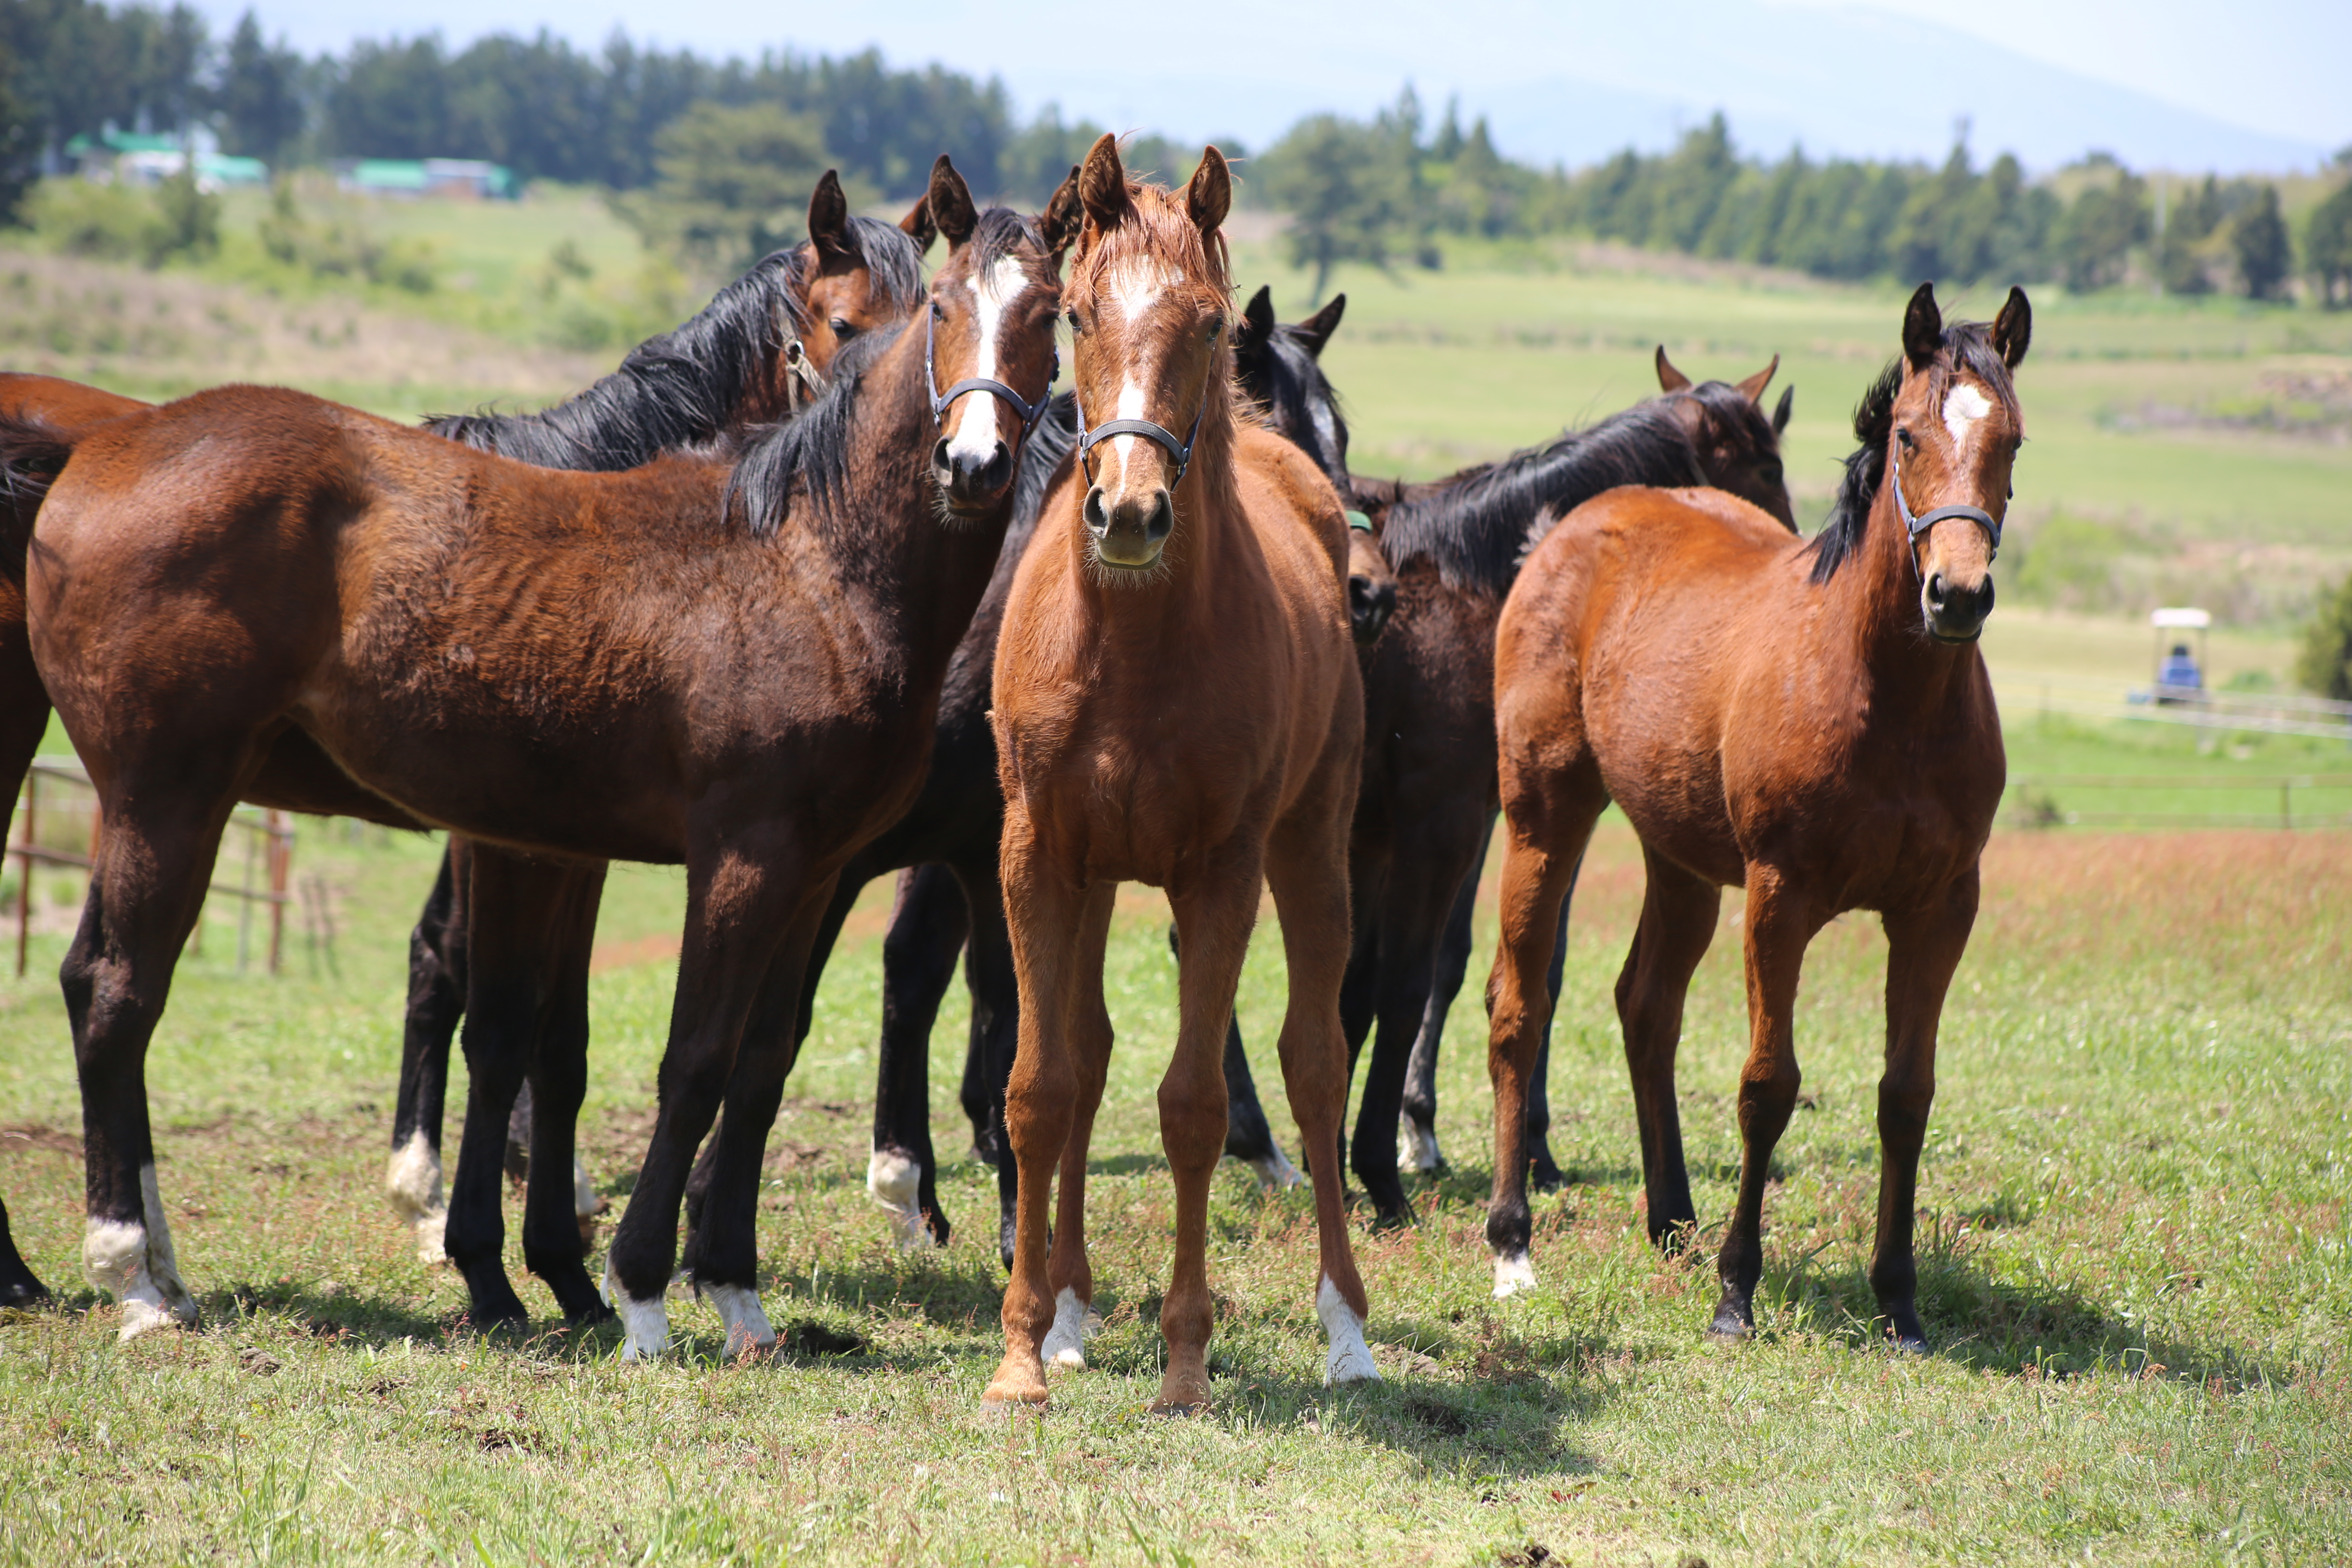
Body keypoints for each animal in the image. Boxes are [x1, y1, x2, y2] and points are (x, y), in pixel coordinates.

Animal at [16, 160, 1077, 1354]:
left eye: (1050, 319)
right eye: (936, 311)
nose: (973, 464)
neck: (804, 561)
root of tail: (99, 450)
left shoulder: (803, 869)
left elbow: (749, 1062)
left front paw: (728, 1289)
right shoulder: (733, 858)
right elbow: (684, 1059)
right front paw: (638, 1290)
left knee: (100, 982)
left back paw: (158, 1270)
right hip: (164, 796)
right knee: (118, 993)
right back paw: (133, 1281)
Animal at [978, 138, 1373, 1410]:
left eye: (1204, 323)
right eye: (1078, 313)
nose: (1131, 512)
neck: (1132, 645)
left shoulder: (1222, 872)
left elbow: (1199, 1107)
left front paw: (1186, 1362)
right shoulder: (1036, 855)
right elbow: (1043, 1089)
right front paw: (1023, 1351)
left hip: (1311, 850)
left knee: (1315, 1063)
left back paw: (1346, 1329)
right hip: (1099, 876)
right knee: (1090, 1053)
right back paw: (1069, 1308)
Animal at [1317, 352, 1787, 1222]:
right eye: (1768, 466)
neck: (1471, 581)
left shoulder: (1370, 834)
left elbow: (1351, 992)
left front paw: (1334, 1158)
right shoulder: (1442, 825)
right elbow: (1405, 986)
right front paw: (1380, 1172)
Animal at [1486, 285, 2022, 1354]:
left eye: (2013, 442)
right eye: (1905, 436)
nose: (1955, 595)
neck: (1884, 695)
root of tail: (1569, 524)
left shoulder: (1940, 908)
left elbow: (1905, 1095)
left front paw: (1898, 1300)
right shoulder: (1781, 896)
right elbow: (1767, 1084)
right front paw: (1737, 1292)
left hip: (1680, 858)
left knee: (1644, 1006)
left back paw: (1670, 1219)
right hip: (1543, 815)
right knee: (1516, 1008)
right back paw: (1512, 1240)